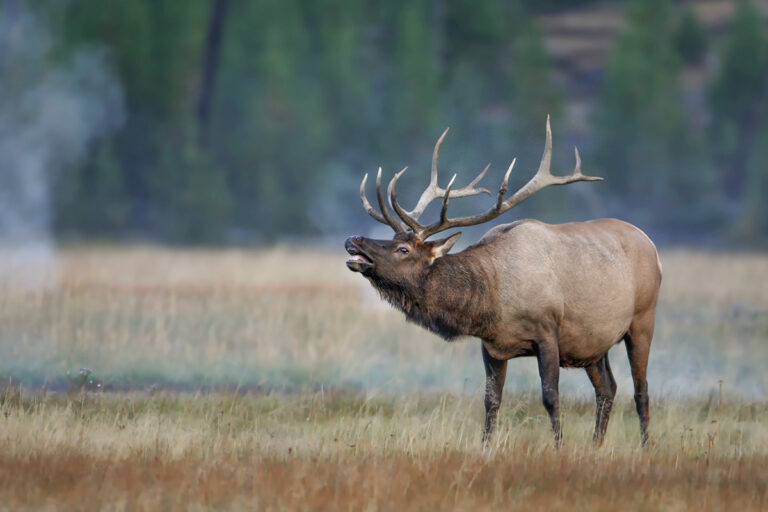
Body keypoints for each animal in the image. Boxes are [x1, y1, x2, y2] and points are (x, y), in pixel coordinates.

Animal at [345, 117, 662, 447]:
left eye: (403, 249)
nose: (352, 239)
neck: (491, 299)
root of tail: (650, 243)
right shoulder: (492, 346)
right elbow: (491, 400)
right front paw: (486, 447)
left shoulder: (548, 332)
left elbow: (550, 397)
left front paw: (559, 446)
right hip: (592, 343)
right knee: (608, 389)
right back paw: (596, 445)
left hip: (642, 319)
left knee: (641, 390)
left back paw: (644, 446)